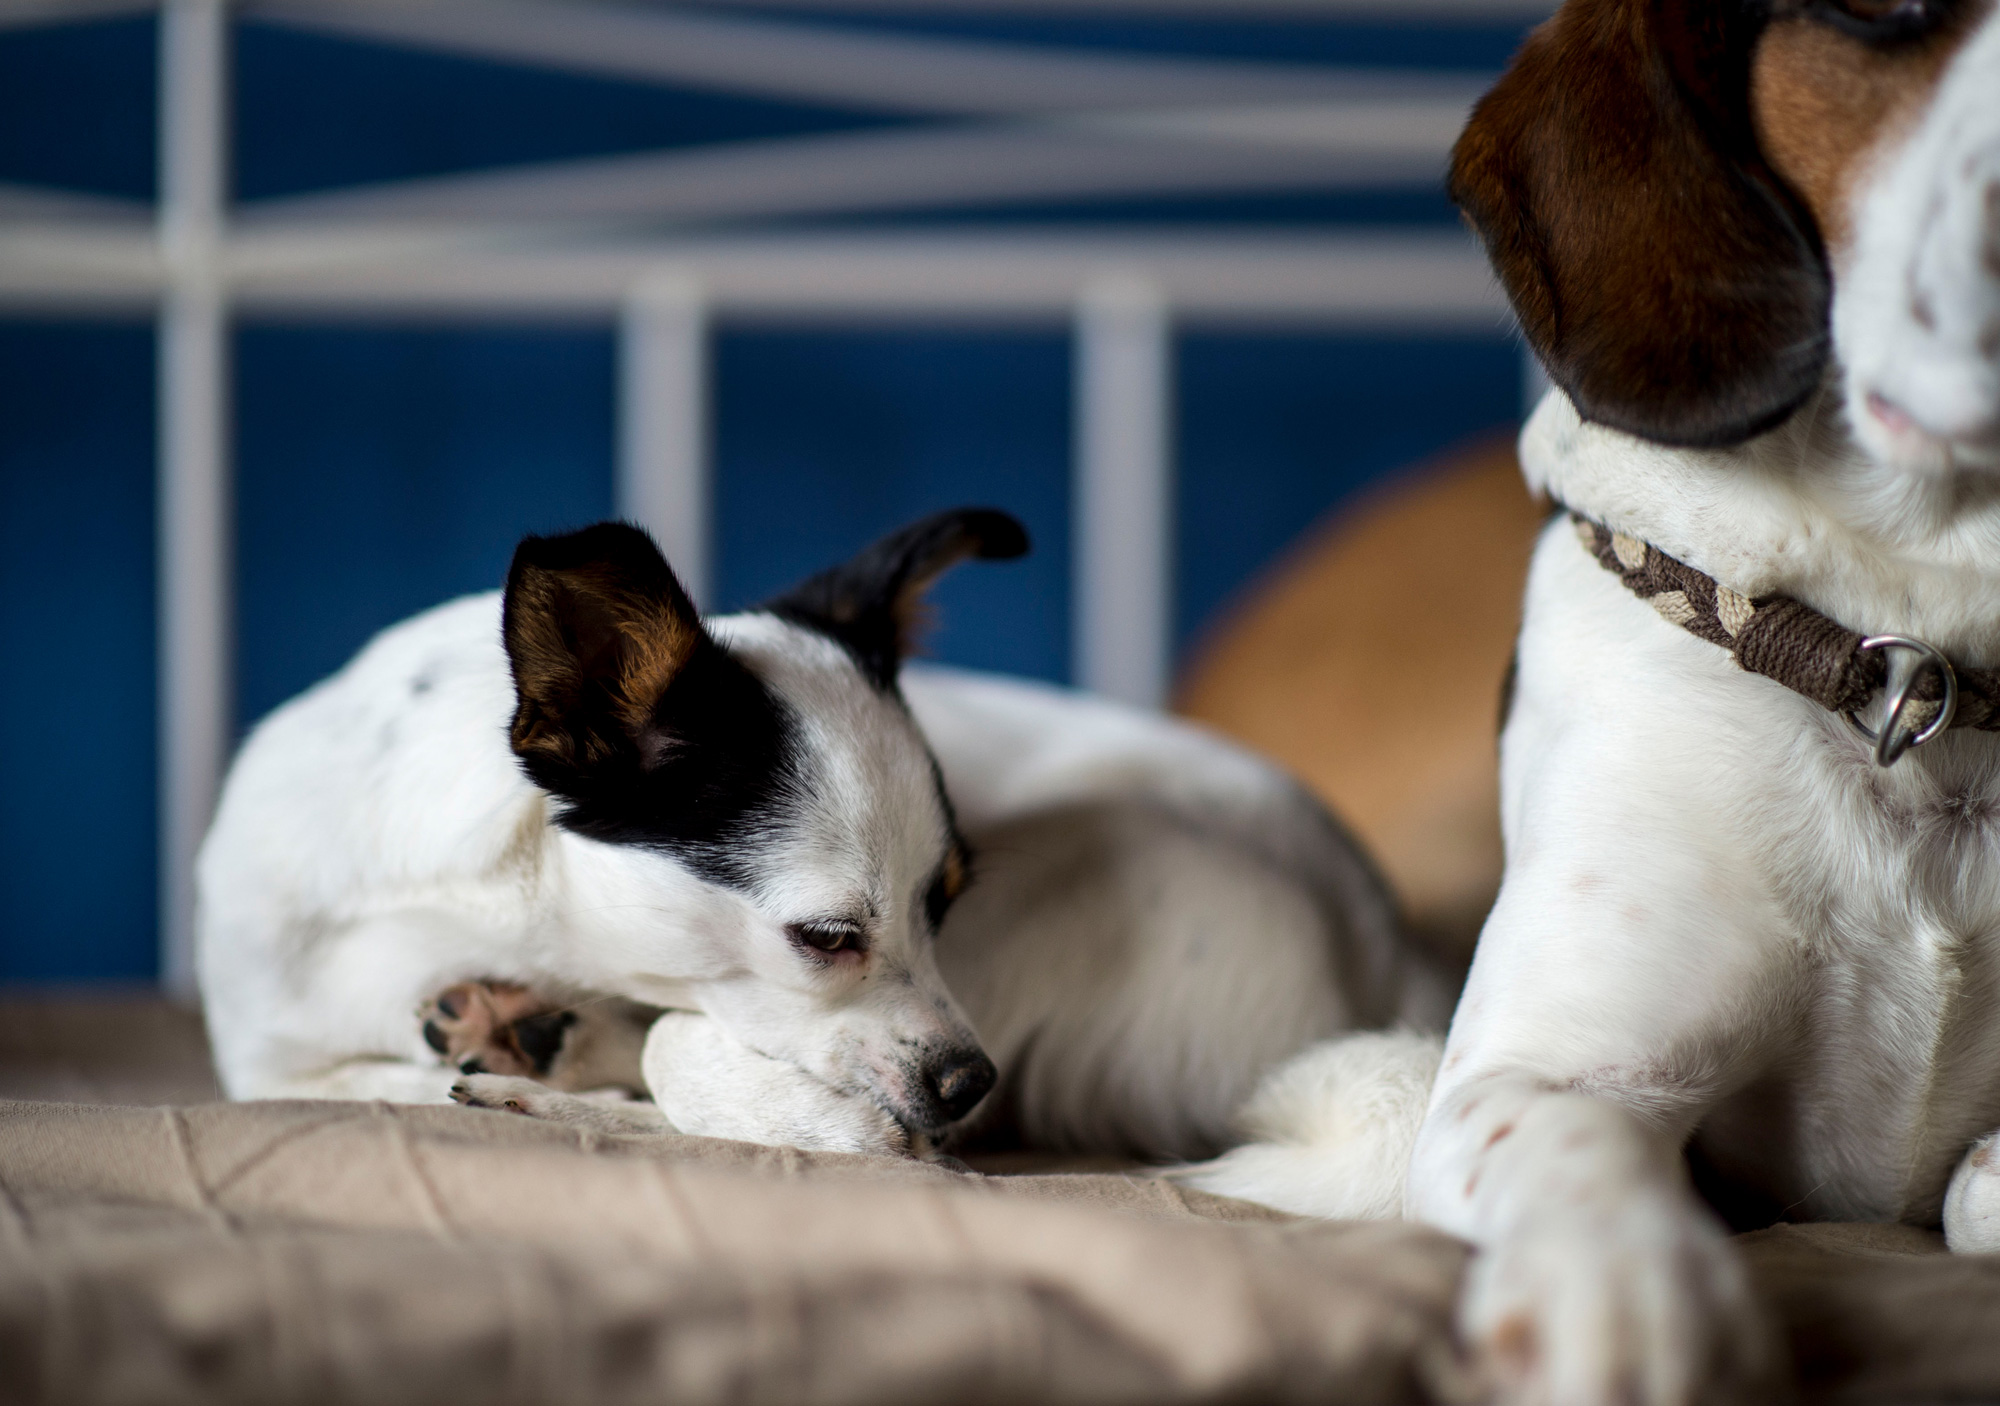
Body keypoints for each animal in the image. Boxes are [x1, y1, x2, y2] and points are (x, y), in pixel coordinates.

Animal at [199, 506, 1440, 1168]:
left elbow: (675, 1048)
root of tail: (1387, 958)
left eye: (945, 905)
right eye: (826, 935)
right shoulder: (268, 1064)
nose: (968, 1079)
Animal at [1184, 2, 2000, 1406]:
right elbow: (1576, 1141)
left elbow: (1981, 1182)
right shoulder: (1542, 1062)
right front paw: (1626, 1301)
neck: (1924, 671)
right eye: (1881, 8)